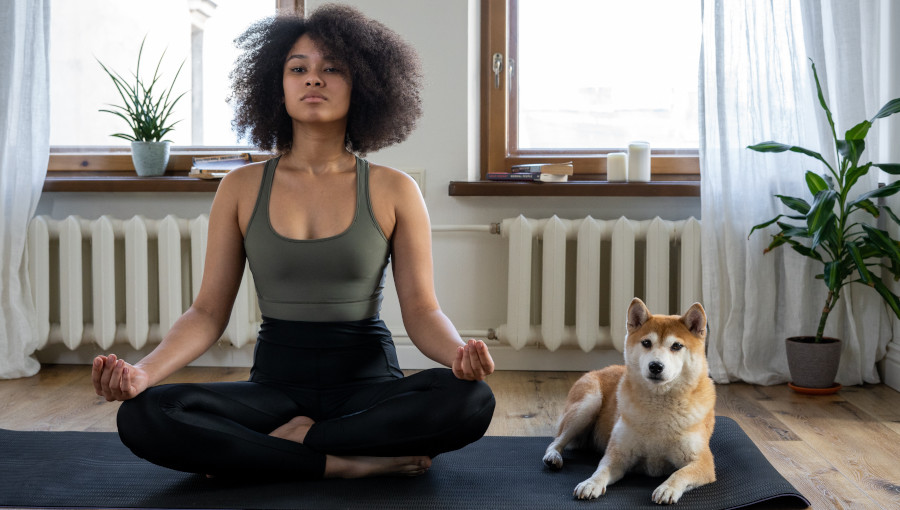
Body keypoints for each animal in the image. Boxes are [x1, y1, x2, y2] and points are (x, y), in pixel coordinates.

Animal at [540, 296, 716, 504]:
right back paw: (553, 456)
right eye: (646, 342)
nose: (655, 366)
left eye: (676, 346)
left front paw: (667, 488)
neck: (659, 408)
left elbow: (680, 474)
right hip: (588, 405)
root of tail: (598, 370)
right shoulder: (617, 454)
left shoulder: (703, 463)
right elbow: (600, 471)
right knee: (556, 440)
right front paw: (590, 483)